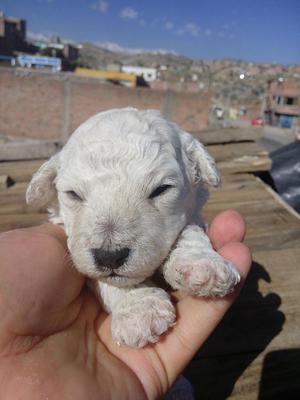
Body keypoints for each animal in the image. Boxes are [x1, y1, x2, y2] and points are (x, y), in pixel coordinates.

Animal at [27, 108, 240, 346]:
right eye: (73, 194)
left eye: (161, 190)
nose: (110, 257)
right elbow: (105, 280)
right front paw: (140, 311)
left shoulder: (193, 211)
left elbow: (190, 231)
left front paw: (202, 266)